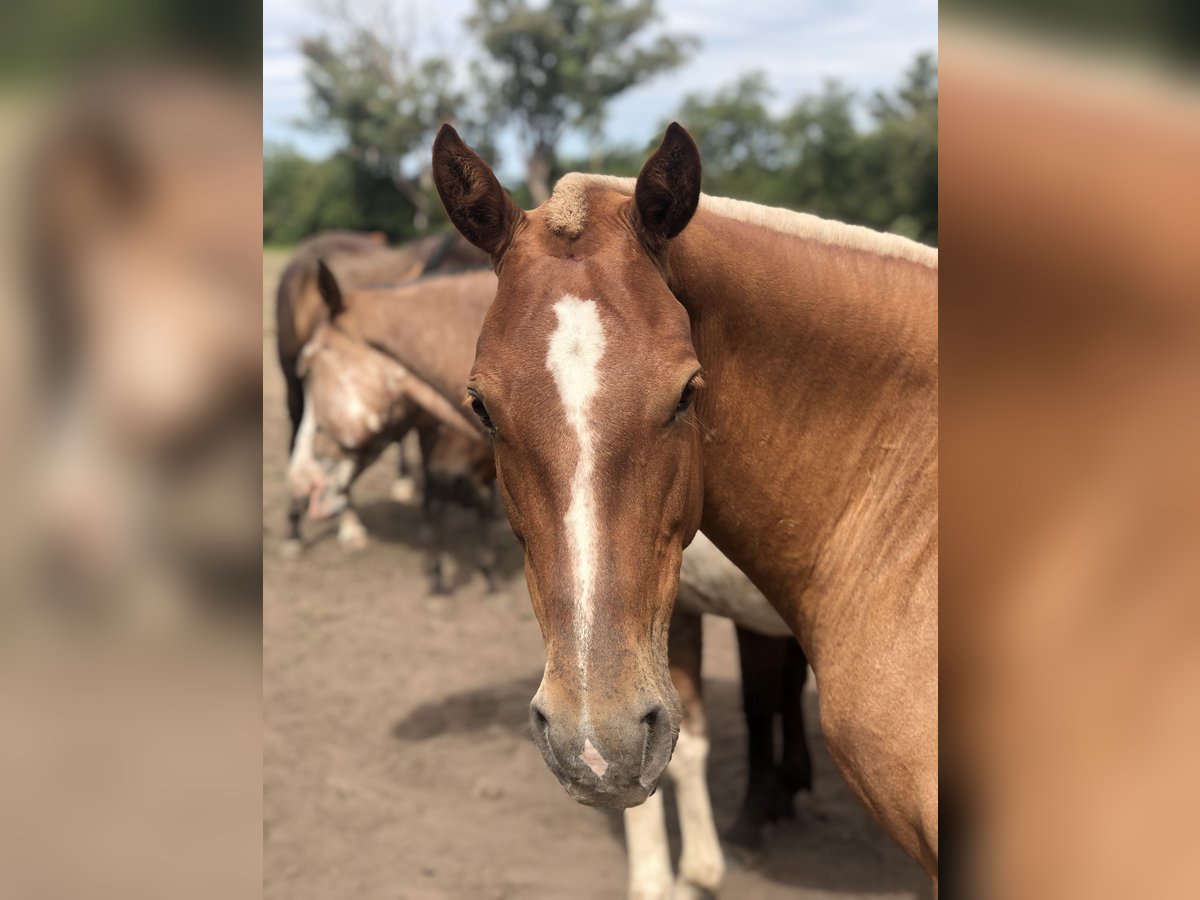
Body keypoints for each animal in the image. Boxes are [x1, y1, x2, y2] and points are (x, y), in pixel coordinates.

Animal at [288, 264, 816, 897]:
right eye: (482, 410)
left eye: (310, 368)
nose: (299, 481)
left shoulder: (685, 617)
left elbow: (679, 742)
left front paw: (682, 869)